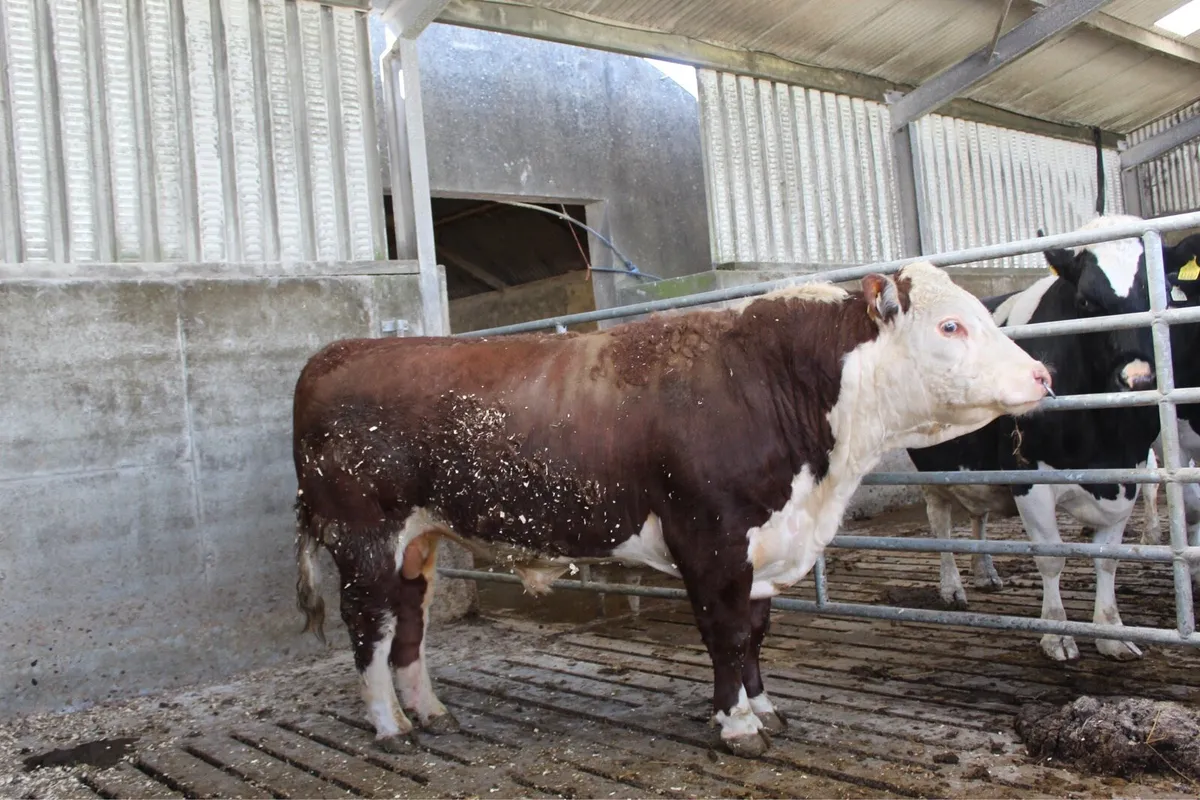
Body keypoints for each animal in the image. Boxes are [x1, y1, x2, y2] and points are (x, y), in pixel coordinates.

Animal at [292, 261, 1052, 758]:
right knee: (370, 629)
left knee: (410, 626)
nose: (1042, 374)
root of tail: (336, 354)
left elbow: (755, 632)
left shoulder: (761, 544)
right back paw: (389, 725)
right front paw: (737, 725)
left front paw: (764, 707)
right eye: (951, 326)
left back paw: (429, 712)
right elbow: (726, 634)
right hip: (364, 537)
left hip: (418, 541)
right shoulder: (709, 538)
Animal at [908, 215, 1163, 663]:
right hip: (932, 471)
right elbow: (1050, 558)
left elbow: (1108, 561)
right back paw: (952, 586)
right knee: (940, 523)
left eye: (1157, 291)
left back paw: (985, 571)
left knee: (978, 514)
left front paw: (1112, 634)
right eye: (1085, 303)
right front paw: (1057, 634)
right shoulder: (1029, 475)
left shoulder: (1129, 473)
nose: (1138, 379)